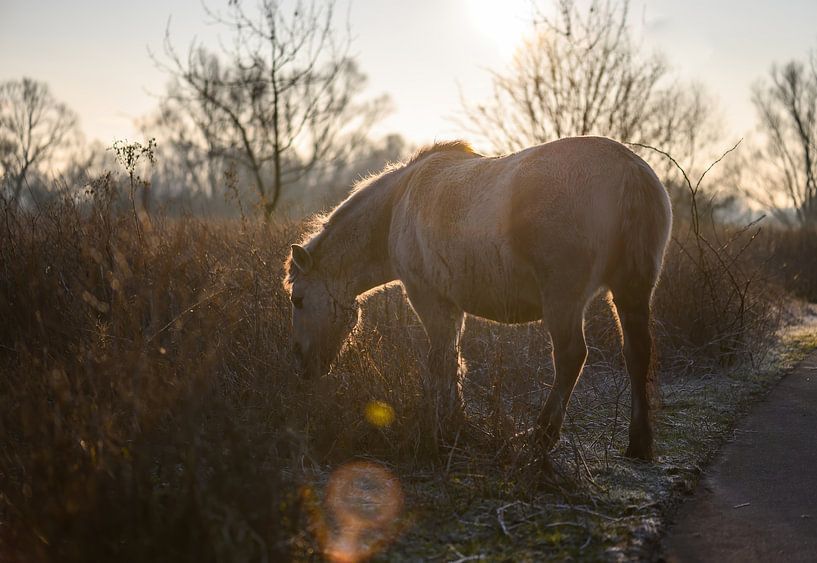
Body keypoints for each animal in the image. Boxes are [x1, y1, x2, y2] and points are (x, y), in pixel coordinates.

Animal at [284, 136, 672, 460]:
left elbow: (442, 360)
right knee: (638, 352)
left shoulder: (430, 298)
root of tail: (629, 170)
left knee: (571, 356)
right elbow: (454, 359)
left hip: (563, 298)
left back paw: (541, 436)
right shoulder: (453, 306)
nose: (302, 365)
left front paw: (447, 423)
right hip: (632, 290)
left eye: (297, 300)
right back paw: (639, 444)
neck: (398, 205)